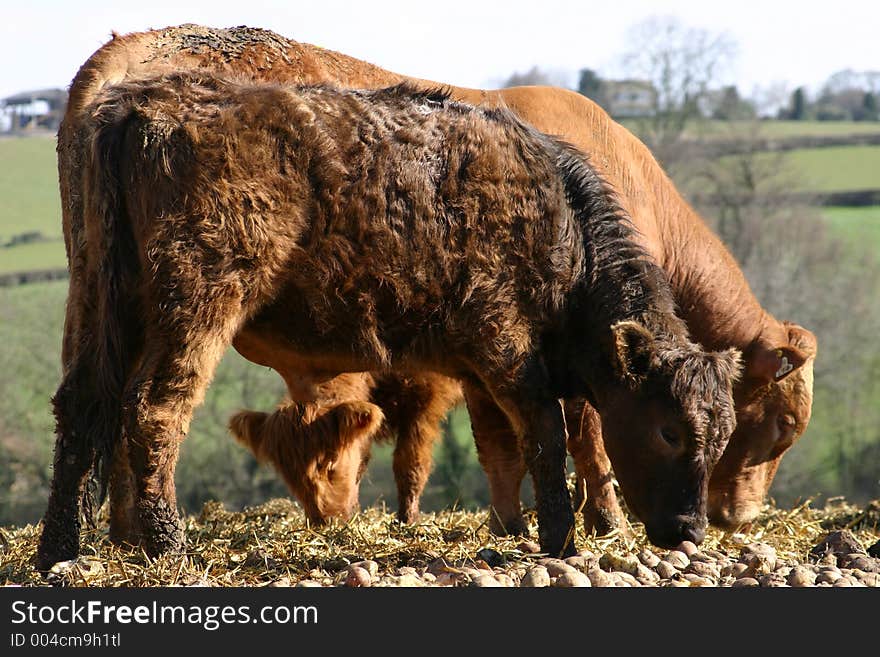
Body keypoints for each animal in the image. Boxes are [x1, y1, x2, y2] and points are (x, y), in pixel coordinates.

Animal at [51, 24, 816, 540]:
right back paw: (160, 546)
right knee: (152, 409)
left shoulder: (477, 363)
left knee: (86, 404)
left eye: (728, 429)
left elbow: (503, 444)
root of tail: (133, 88)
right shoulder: (507, 343)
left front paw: (512, 529)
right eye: (666, 431)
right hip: (195, 301)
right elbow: (563, 435)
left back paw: (73, 549)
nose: (712, 525)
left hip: (98, 295)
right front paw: (584, 530)